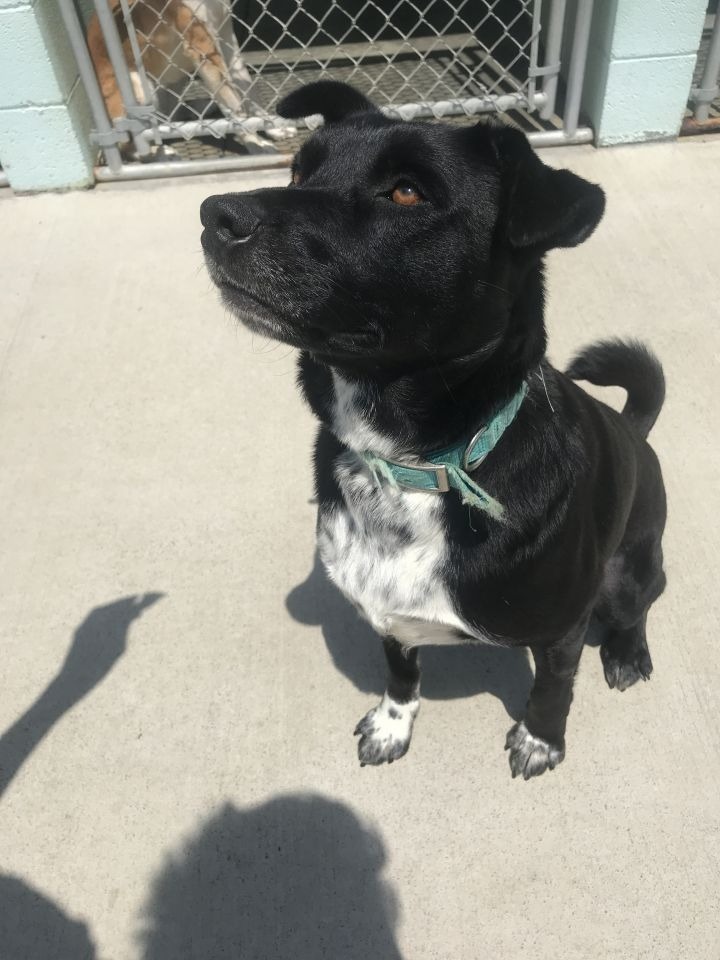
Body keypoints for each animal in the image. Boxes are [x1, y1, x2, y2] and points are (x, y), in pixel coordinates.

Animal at [200, 79, 668, 776]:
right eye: (300, 171)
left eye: (406, 192)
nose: (214, 216)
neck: (413, 465)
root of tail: (636, 432)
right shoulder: (387, 617)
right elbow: (400, 674)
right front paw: (392, 726)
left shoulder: (562, 627)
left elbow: (554, 687)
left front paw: (541, 739)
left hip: (626, 572)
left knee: (641, 600)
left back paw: (627, 652)